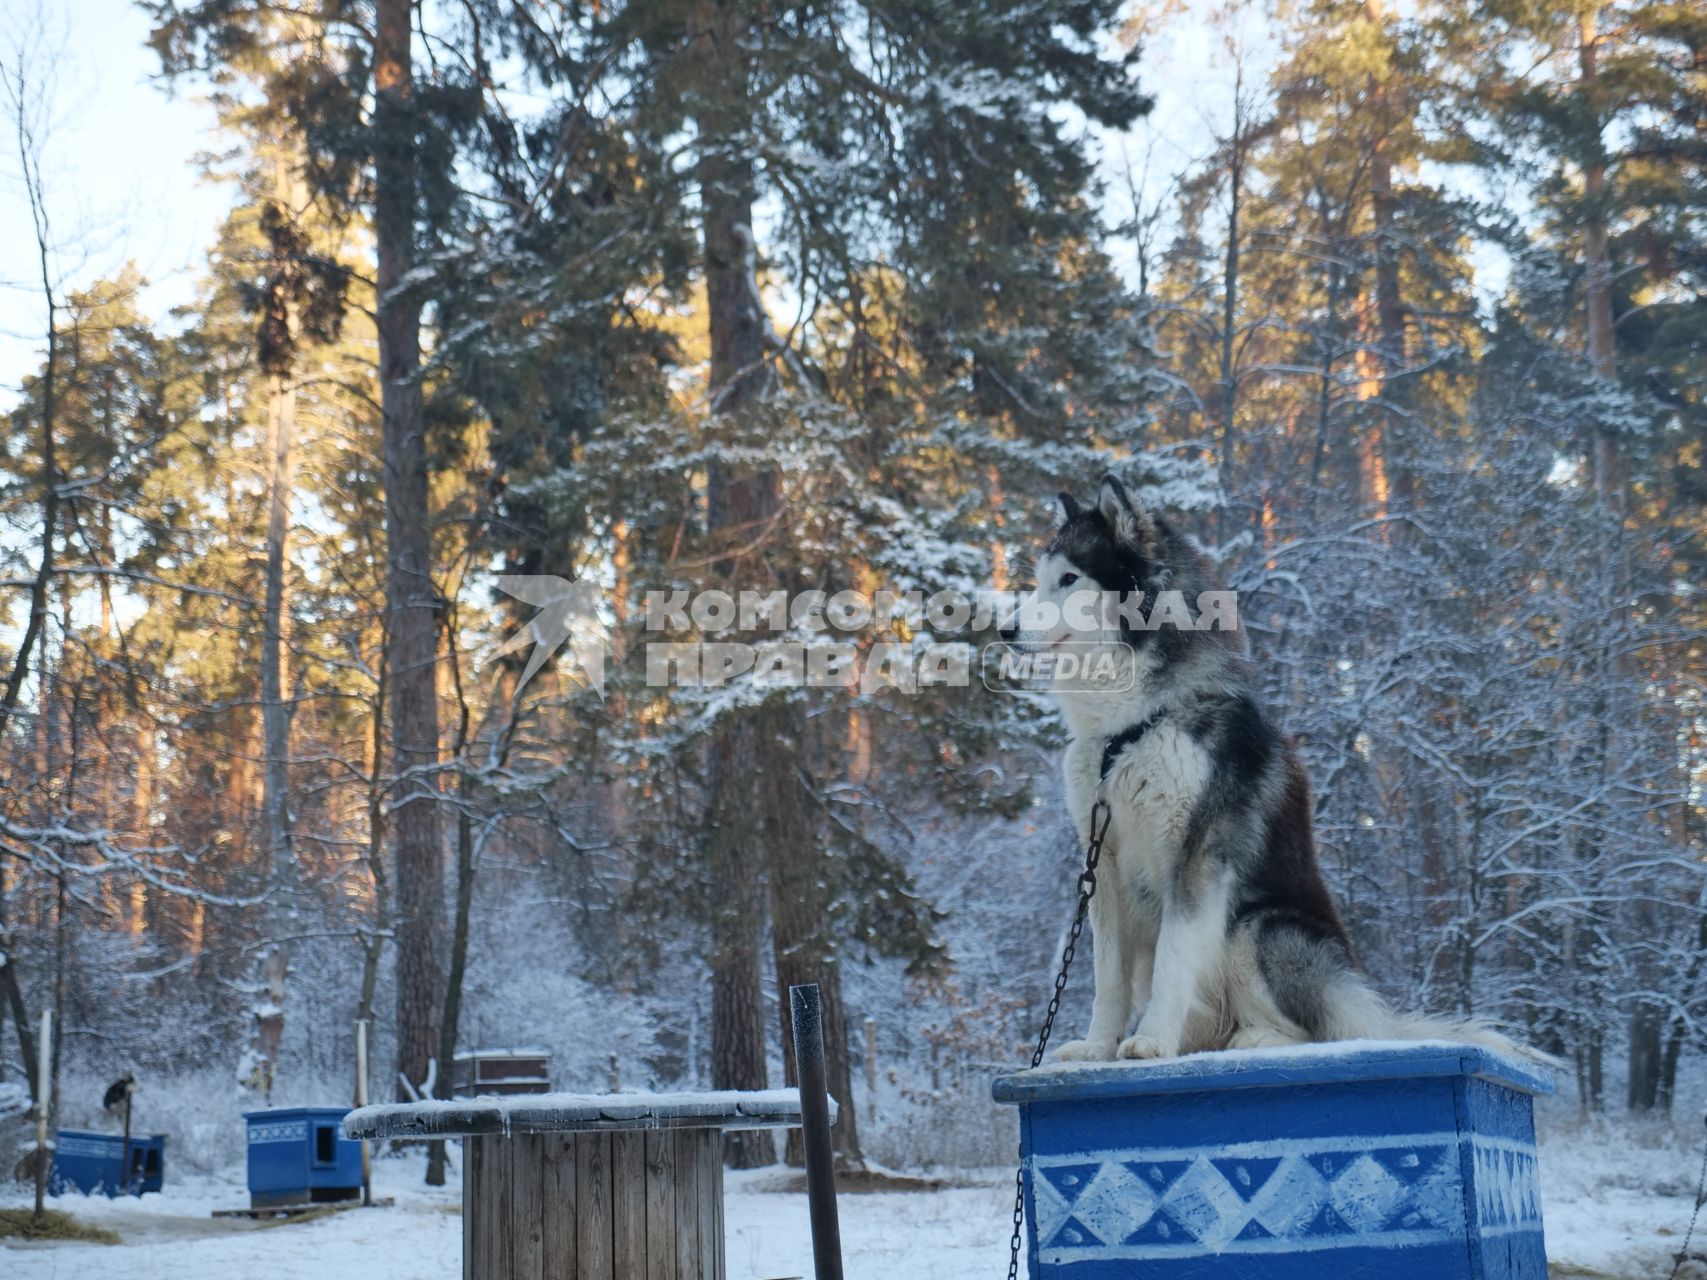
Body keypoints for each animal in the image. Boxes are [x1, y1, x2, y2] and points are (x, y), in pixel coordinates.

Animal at [996, 477, 1515, 1064]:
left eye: (1069, 580)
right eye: (1039, 582)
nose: (1005, 629)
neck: (1128, 727)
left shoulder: (1197, 853)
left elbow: (1174, 957)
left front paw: (1151, 1039)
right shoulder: (1101, 859)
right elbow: (1108, 976)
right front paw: (1098, 1046)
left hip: (1258, 928)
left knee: (1323, 1029)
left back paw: (1252, 1036)